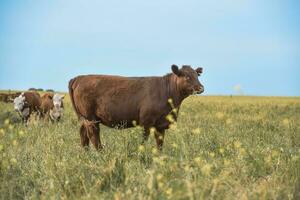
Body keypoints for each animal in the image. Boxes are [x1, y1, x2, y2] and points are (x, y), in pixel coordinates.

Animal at [68, 65, 204, 151]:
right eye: (187, 77)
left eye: (197, 75)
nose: (201, 88)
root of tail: (79, 78)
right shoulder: (146, 122)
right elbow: (143, 141)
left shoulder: (160, 125)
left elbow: (160, 144)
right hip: (91, 119)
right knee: (93, 136)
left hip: (84, 119)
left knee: (83, 135)